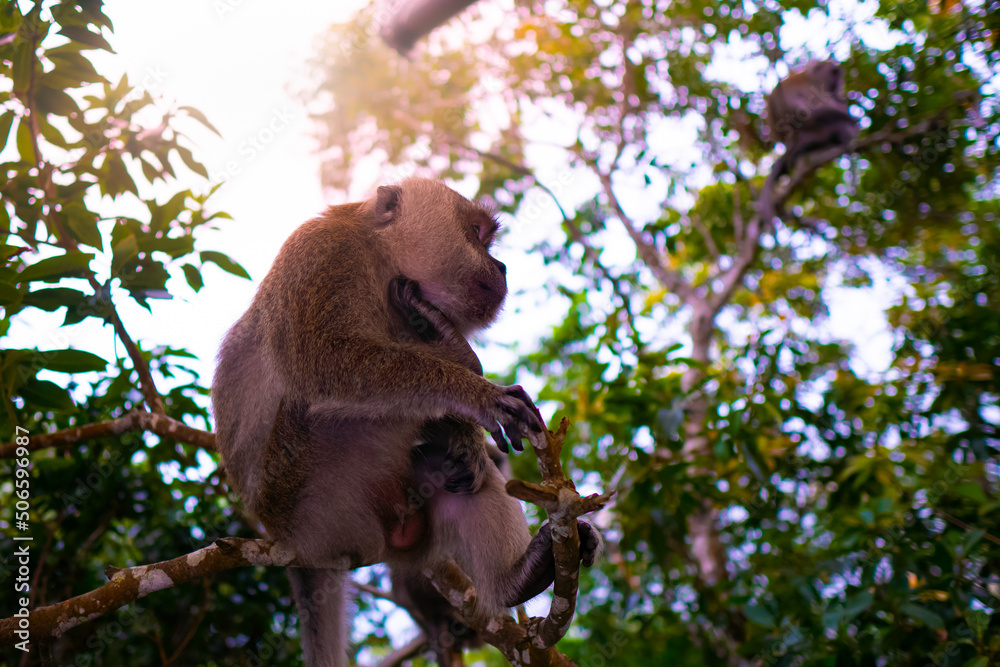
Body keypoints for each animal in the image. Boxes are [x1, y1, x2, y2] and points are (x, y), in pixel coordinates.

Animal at [211, 178, 601, 667]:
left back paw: (517, 576)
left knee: (459, 478)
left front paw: (464, 424)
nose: (502, 266)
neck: (379, 257)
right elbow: (323, 365)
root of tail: (285, 538)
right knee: (317, 404)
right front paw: (474, 387)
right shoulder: (321, 254)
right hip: (310, 491)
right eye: (476, 232)